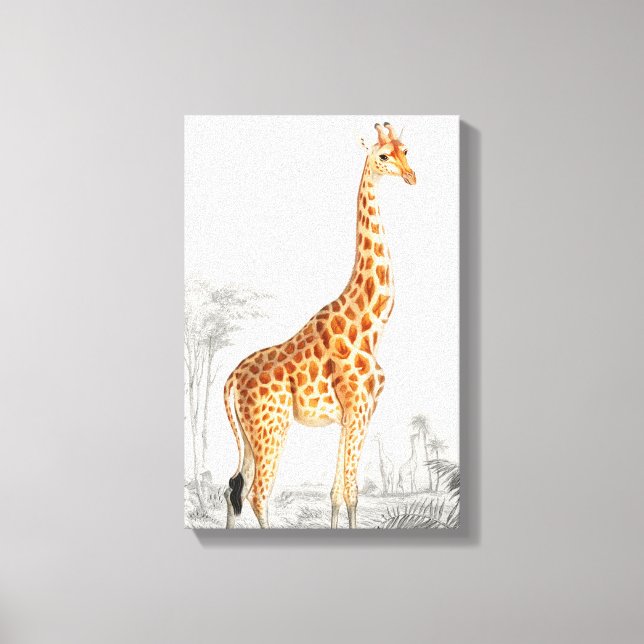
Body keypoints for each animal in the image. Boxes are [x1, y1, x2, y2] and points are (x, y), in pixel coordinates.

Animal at [223, 122, 416, 528]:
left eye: (406, 150)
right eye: (383, 155)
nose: (411, 176)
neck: (371, 324)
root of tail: (230, 379)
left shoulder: (351, 415)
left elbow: (337, 493)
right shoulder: (359, 407)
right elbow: (353, 492)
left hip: (248, 434)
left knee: (232, 487)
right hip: (271, 428)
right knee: (257, 493)